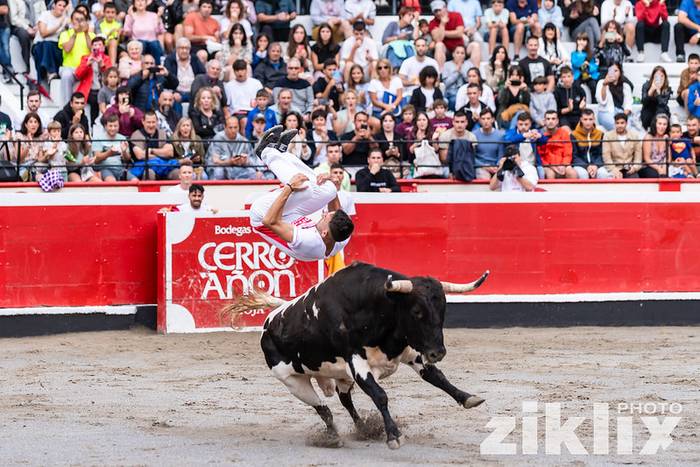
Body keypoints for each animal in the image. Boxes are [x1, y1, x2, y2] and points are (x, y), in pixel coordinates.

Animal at [224, 264, 486, 450]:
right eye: (417, 311)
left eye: (443, 309)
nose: (438, 352)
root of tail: (273, 317)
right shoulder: (357, 362)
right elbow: (380, 395)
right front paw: (393, 436)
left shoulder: (410, 353)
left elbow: (437, 377)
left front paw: (468, 398)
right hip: (293, 381)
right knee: (323, 409)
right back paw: (333, 438)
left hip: (341, 377)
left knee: (344, 401)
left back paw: (362, 428)